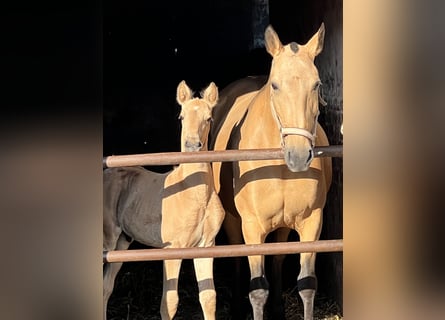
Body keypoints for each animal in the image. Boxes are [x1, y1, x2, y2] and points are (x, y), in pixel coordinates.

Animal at [102, 80, 224, 320]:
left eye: (209, 118)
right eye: (181, 117)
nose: (192, 145)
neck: (194, 194)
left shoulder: (206, 246)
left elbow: (209, 298)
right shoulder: (172, 250)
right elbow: (169, 303)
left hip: (122, 243)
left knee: (106, 288)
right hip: (107, 241)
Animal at [210, 23, 332, 320]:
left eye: (316, 84)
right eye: (275, 85)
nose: (298, 156)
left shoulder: (312, 223)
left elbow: (307, 284)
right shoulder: (253, 226)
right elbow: (257, 290)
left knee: (277, 258)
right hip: (234, 221)